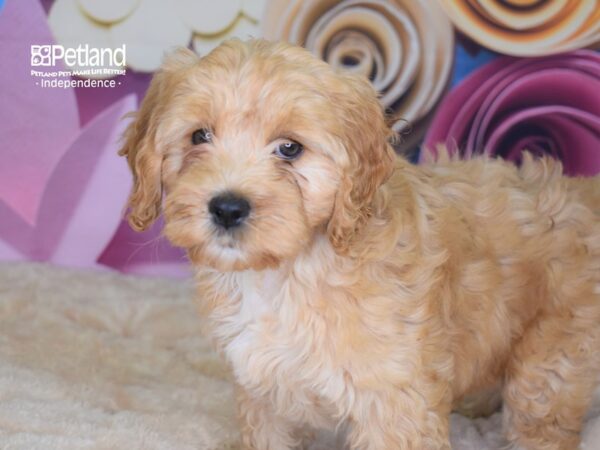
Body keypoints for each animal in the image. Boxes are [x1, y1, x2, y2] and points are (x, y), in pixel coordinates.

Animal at [120, 39, 600, 450]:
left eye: (290, 148)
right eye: (199, 136)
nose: (227, 208)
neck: (288, 272)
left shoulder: (394, 400)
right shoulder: (263, 394)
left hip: (551, 353)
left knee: (542, 415)